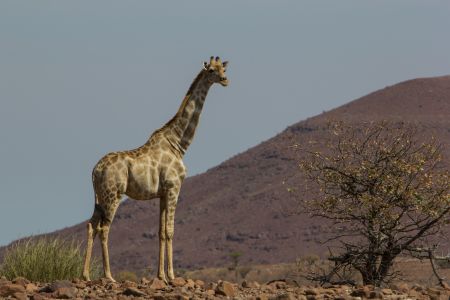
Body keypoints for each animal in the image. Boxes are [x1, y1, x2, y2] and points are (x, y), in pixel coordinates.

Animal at [82, 56, 229, 284]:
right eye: (211, 70)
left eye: (223, 68)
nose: (225, 80)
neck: (178, 143)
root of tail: (94, 171)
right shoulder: (174, 187)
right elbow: (170, 231)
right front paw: (172, 275)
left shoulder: (162, 193)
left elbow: (160, 232)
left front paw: (161, 276)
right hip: (113, 195)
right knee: (104, 228)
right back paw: (109, 275)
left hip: (99, 197)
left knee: (91, 226)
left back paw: (86, 274)